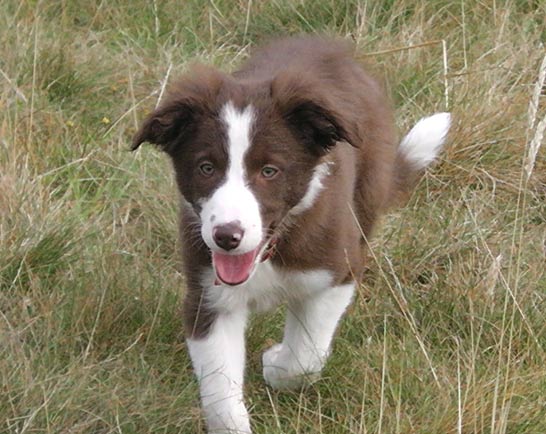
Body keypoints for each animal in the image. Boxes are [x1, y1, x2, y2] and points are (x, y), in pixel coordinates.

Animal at [133, 36, 450, 434]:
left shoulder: (337, 273)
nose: (226, 237)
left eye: (269, 171)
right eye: (206, 168)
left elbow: (306, 355)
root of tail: (328, 44)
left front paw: (275, 362)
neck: (271, 250)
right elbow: (221, 394)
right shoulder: (208, 296)